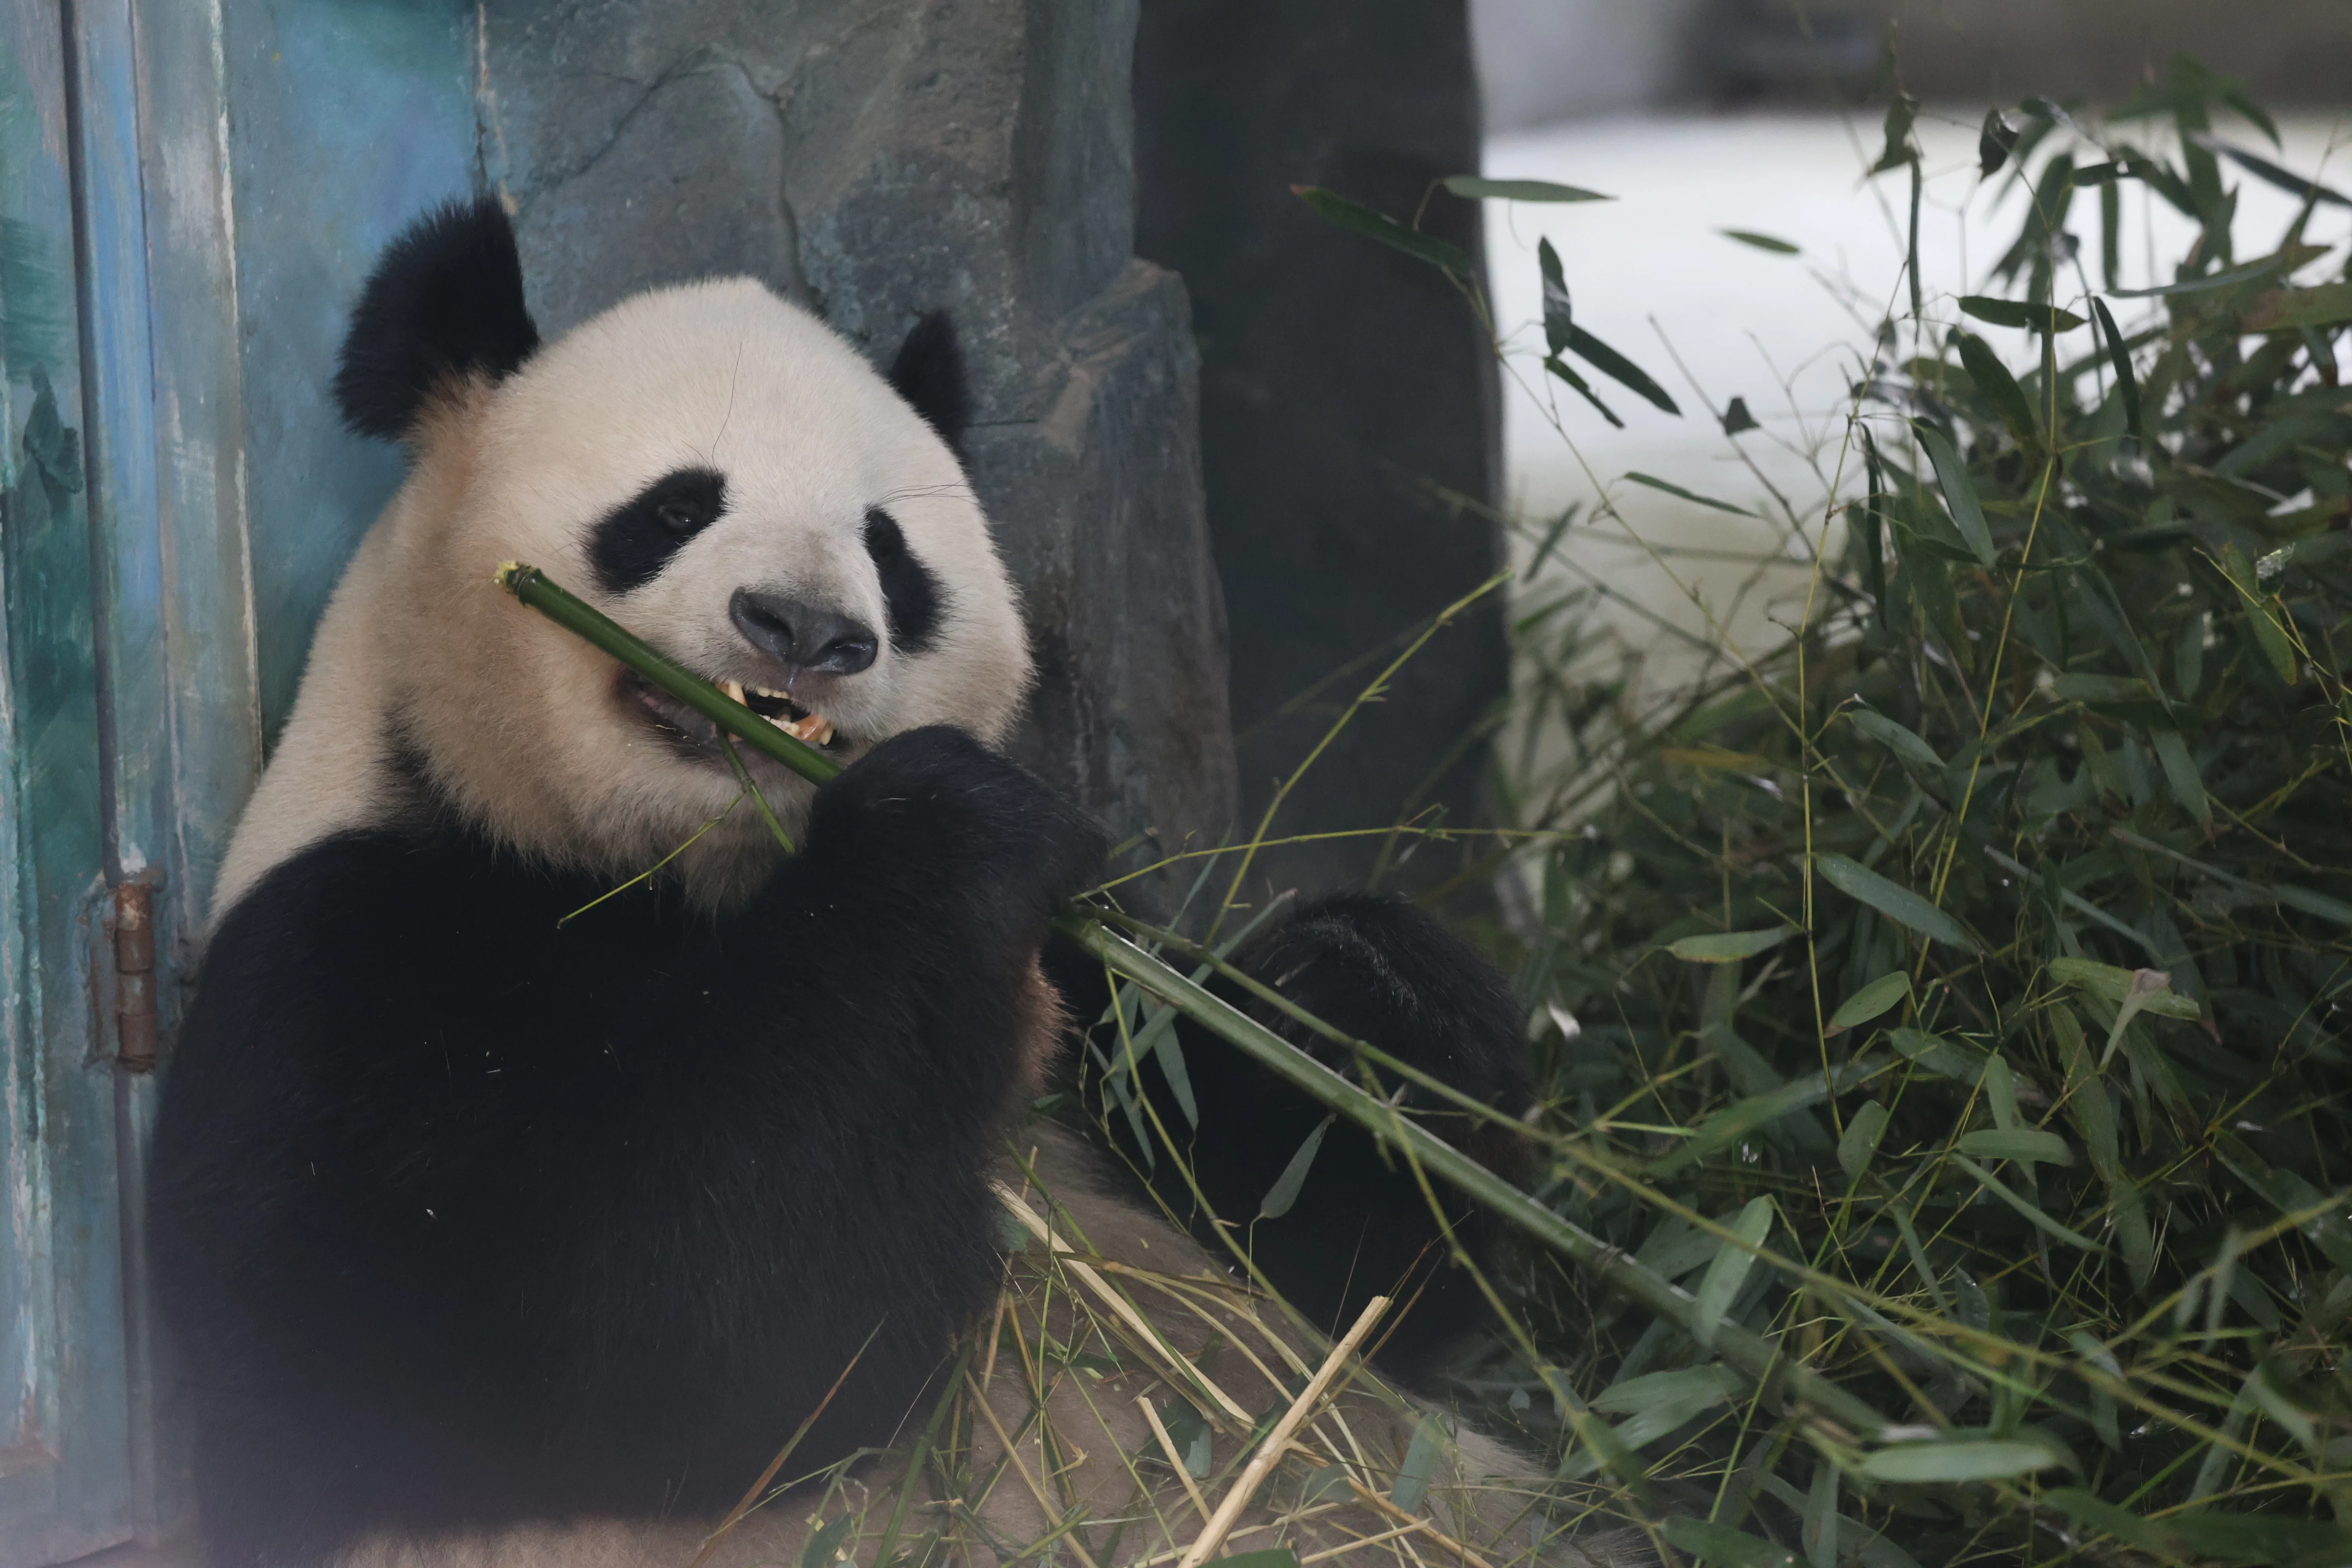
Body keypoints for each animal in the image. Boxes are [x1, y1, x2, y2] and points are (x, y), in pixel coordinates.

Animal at [150, 198, 1628, 1568]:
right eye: (676, 507)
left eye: (889, 552)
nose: (806, 630)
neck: (687, 871)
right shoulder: (353, 955)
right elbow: (610, 1329)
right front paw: (943, 832)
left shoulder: (1082, 978)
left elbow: (1328, 1261)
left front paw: (1358, 990)